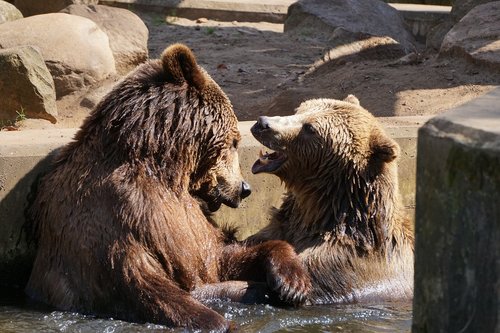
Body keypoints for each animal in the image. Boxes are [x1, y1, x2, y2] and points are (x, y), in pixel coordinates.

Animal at [26, 43, 312, 330]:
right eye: (234, 141)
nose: (244, 188)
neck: (163, 170)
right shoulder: (121, 215)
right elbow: (147, 284)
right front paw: (221, 322)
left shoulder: (191, 224)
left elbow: (220, 254)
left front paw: (293, 283)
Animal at [246, 96, 414, 304]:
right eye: (299, 110)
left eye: (309, 128)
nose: (263, 123)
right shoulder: (284, 226)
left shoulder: (341, 263)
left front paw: (289, 283)